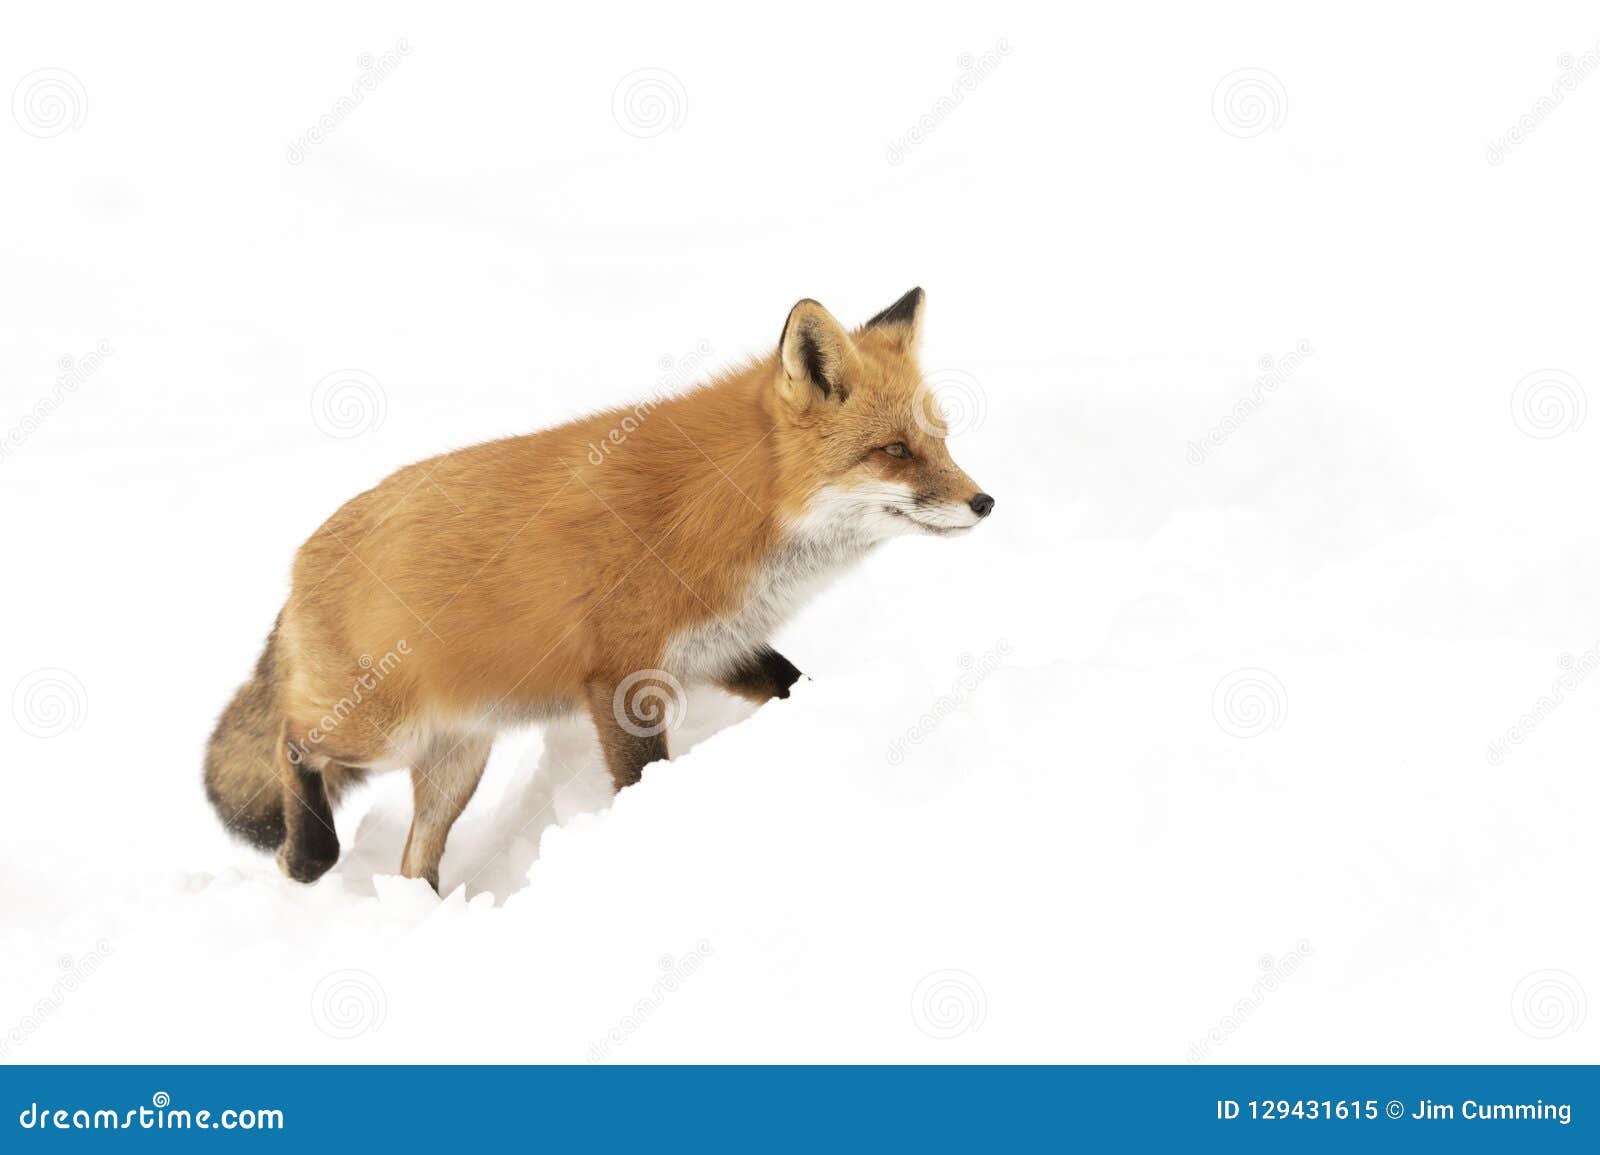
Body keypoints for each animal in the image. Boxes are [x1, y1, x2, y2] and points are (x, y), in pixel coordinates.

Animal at [206, 289, 992, 889]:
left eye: (943, 440)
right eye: (895, 451)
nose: (985, 502)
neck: (728, 509)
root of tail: (301, 559)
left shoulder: (718, 648)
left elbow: (793, 684)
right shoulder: (622, 677)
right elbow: (641, 777)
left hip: (456, 763)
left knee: (413, 863)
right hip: (378, 729)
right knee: (291, 740)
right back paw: (311, 854)